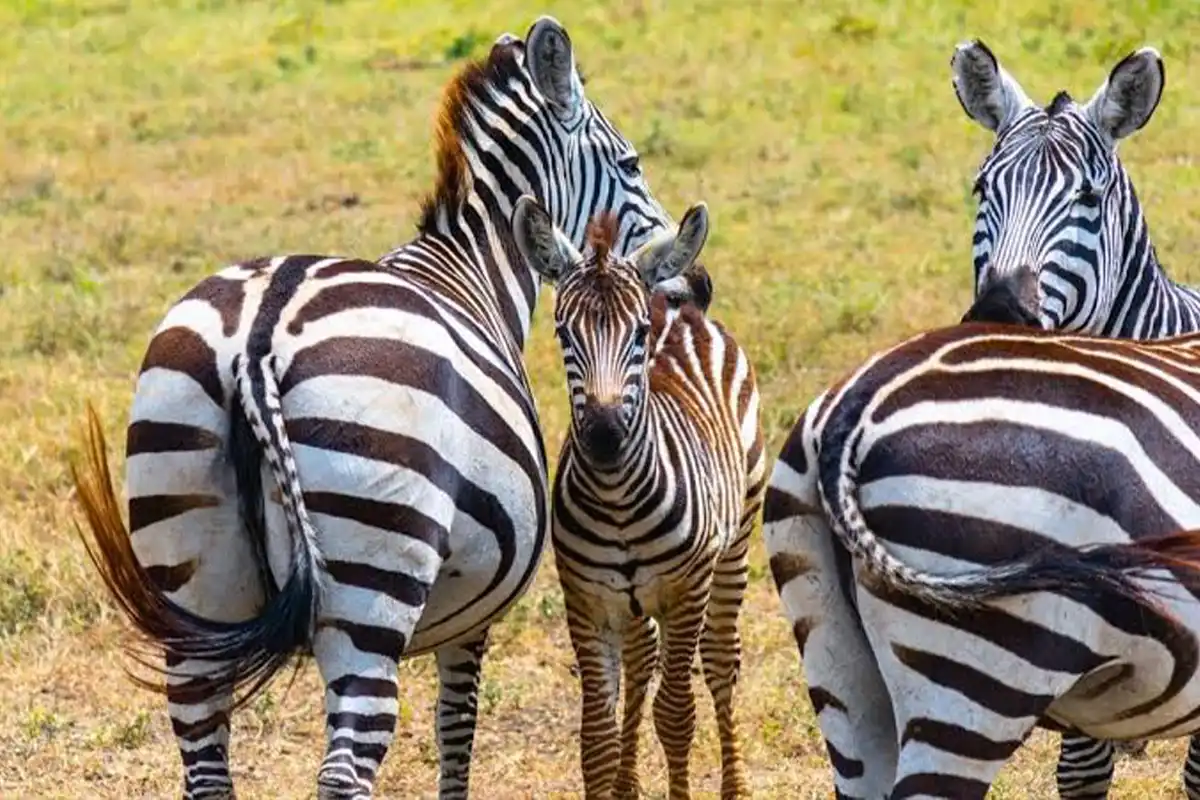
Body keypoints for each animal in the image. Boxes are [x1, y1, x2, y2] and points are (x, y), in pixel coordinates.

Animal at [70, 16, 703, 800]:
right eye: (631, 162)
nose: (698, 287)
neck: (474, 272)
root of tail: (259, 330)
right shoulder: (470, 619)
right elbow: (456, 734)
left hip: (193, 581)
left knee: (207, 765)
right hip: (372, 588)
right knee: (346, 767)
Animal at [510, 197, 766, 799]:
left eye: (638, 334)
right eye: (563, 334)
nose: (605, 438)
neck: (619, 503)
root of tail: (683, 310)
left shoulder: (687, 589)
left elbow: (675, 715)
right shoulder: (586, 601)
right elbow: (596, 738)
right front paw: (616, 773)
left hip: (735, 546)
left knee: (720, 663)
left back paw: (735, 785)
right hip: (632, 605)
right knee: (642, 660)